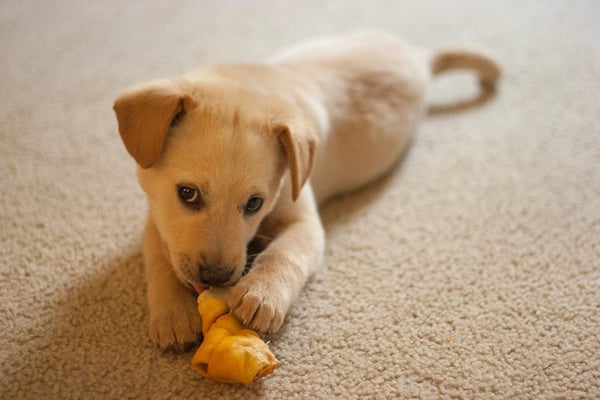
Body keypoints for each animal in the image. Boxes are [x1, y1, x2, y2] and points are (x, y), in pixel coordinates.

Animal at [113, 32, 502, 350]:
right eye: (188, 194)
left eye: (255, 204)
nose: (216, 278)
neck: (247, 87)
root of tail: (420, 56)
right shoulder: (157, 218)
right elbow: (160, 262)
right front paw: (173, 314)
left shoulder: (305, 221)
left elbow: (284, 254)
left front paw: (262, 294)